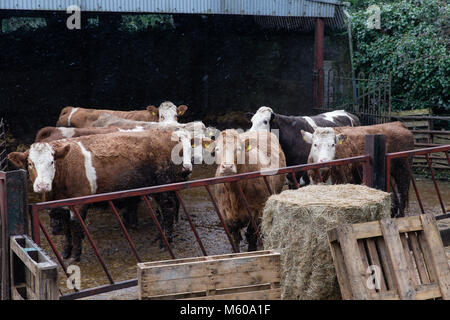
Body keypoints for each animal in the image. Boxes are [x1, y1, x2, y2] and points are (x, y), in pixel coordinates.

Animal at [8, 129, 195, 264]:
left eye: (52, 162)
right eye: (30, 163)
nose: (42, 185)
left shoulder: (79, 202)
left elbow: (76, 227)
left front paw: (75, 255)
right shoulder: (61, 206)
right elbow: (66, 229)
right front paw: (66, 252)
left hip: (163, 187)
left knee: (168, 209)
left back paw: (165, 242)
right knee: (162, 212)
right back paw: (159, 237)